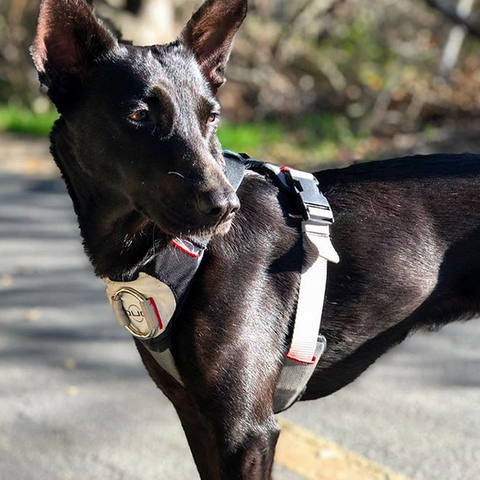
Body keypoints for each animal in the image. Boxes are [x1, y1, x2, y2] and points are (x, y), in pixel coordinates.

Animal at [31, 0, 478, 480]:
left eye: (211, 117)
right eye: (138, 116)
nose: (226, 207)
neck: (185, 253)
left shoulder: (246, 431)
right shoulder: (197, 416)